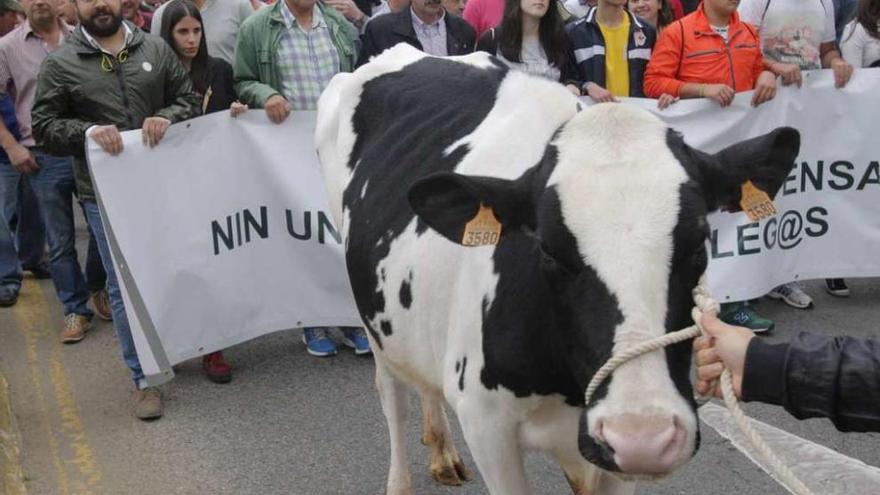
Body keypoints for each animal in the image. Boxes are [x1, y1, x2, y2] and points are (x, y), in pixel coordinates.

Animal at [314, 43, 796, 495]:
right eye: (546, 249)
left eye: (699, 241)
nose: (641, 435)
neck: (567, 388)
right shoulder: (486, 425)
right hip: (370, 313)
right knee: (391, 395)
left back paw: (443, 451)